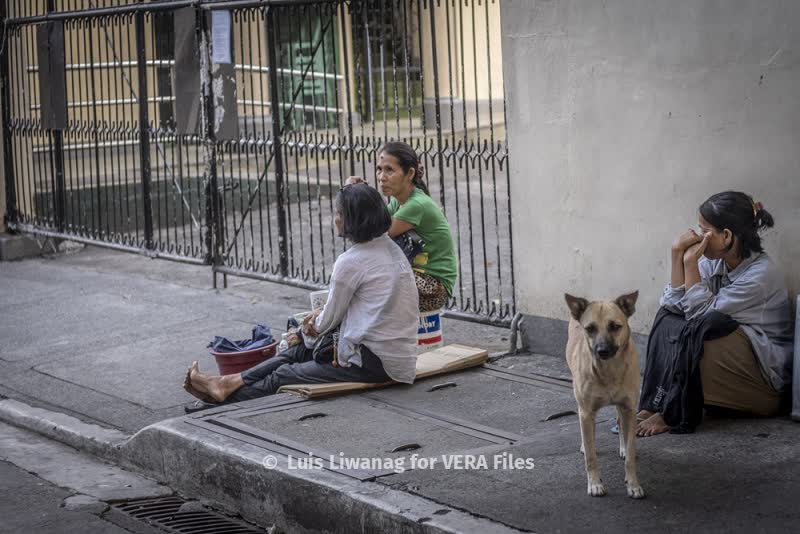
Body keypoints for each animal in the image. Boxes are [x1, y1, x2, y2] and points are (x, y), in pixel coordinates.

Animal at [564, 292, 648, 500]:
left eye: (615, 326)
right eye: (590, 329)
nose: (602, 351)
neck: (609, 370)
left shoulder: (629, 408)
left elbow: (630, 453)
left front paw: (633, 485)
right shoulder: (586, 412)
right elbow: (591, 457)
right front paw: (595, 484)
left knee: (620, 423)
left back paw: (623, 448)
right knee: (587, 433)